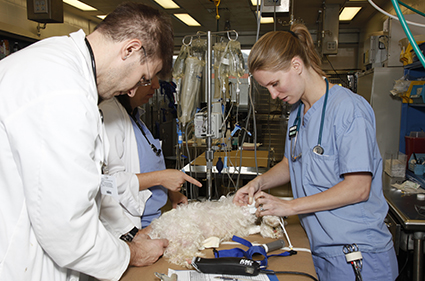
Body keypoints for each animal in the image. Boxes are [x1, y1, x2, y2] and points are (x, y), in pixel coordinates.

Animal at [147, 195, 284, 266]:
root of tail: (158, 230)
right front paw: (272, 222)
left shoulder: (243, 229)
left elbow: (258, 228)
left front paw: (273, 231)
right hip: (190, 233)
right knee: (179, 254)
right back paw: (193, 259)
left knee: (176, 255)